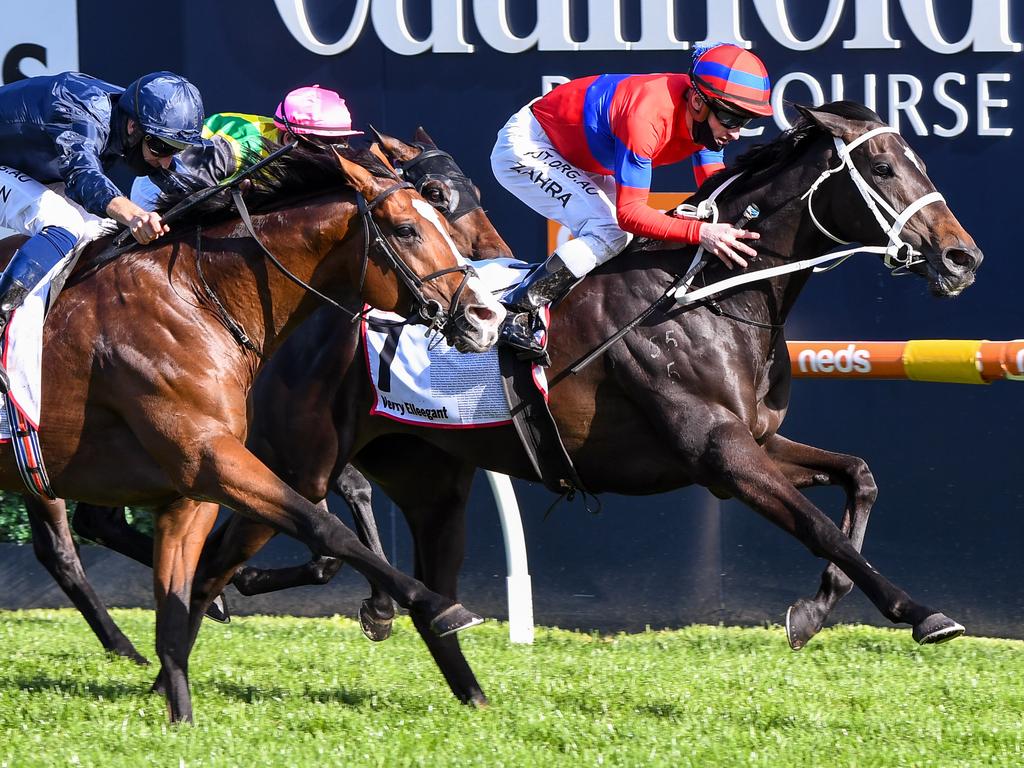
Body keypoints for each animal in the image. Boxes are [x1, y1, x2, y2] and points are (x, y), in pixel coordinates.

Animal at [0, 141, 503, 724]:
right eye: (407, 228)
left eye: (438, 209)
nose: (487, 315)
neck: (197, 298)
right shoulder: (214, 460)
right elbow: (325, 528)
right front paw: (433, 604)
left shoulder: (195, 485)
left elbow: (178, 608)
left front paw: (180, 715)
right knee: (63, 548)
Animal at [172, 103, 978, 708]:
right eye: (883, 168)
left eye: (918, 163)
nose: (962, 256)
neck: (708, 296)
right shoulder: (719, 456)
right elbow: (820, 527)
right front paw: (921, 613)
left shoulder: (756, 441)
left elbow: (858, 478)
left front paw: (814, 612)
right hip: (299, 463)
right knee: (223, 555)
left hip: (431, 478)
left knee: (426, 594)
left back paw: (467, 691)